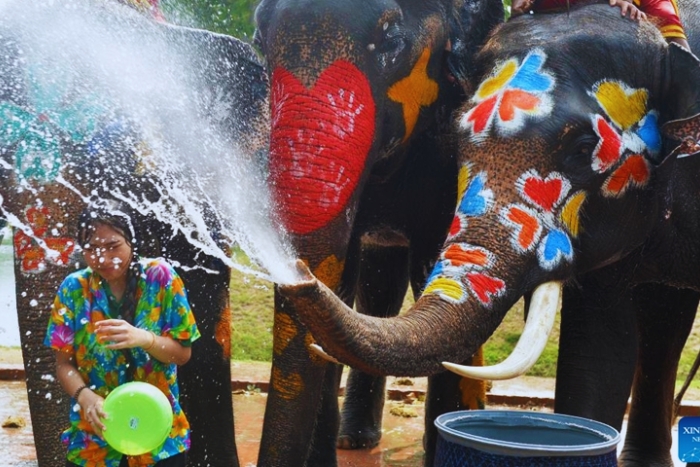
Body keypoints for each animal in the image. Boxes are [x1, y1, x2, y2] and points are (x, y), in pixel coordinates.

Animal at [249, 0, 506, 466]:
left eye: (391, 41)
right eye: (259, 40)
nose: (298, 275)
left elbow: (436, 269)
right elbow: (342, 273)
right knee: (377, 287)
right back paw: (354, 441)